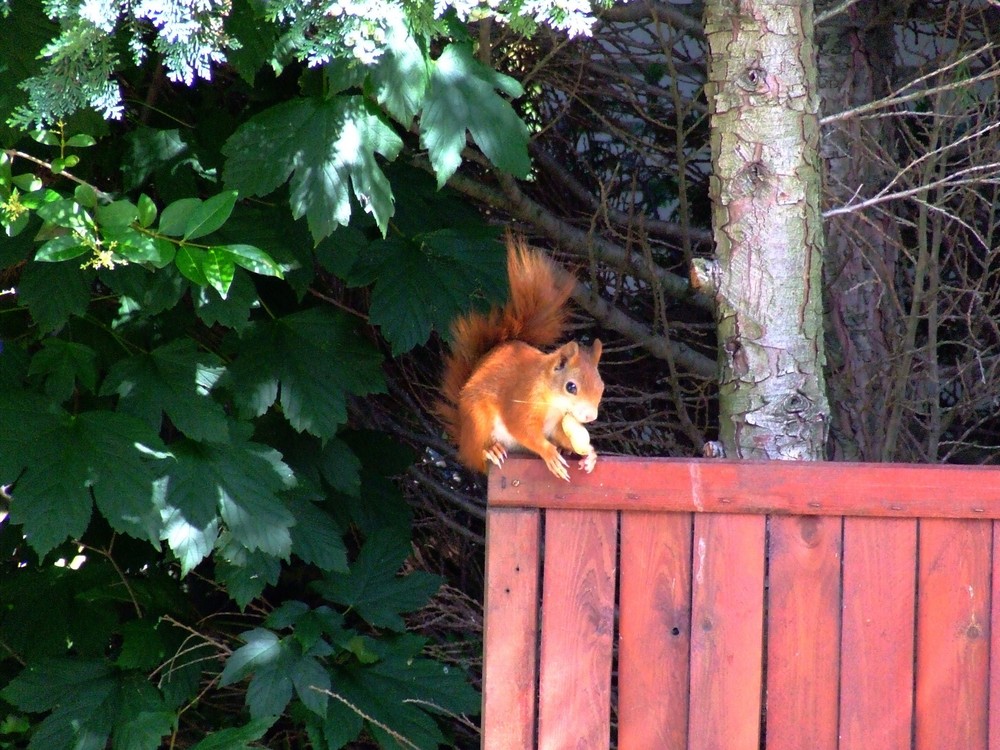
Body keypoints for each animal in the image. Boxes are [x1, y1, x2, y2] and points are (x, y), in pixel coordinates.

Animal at [436, 236, 600, 482]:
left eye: (602, 387)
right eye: (571, 387)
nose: (590, 416)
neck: (552, 402)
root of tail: (464, 438)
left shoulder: (555, 425)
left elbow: (561, 434)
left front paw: (589, 454)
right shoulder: (520, 401)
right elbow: (522, 429)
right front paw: (550, 454)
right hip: (478, 421)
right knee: (478, 453)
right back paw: (491, 450)